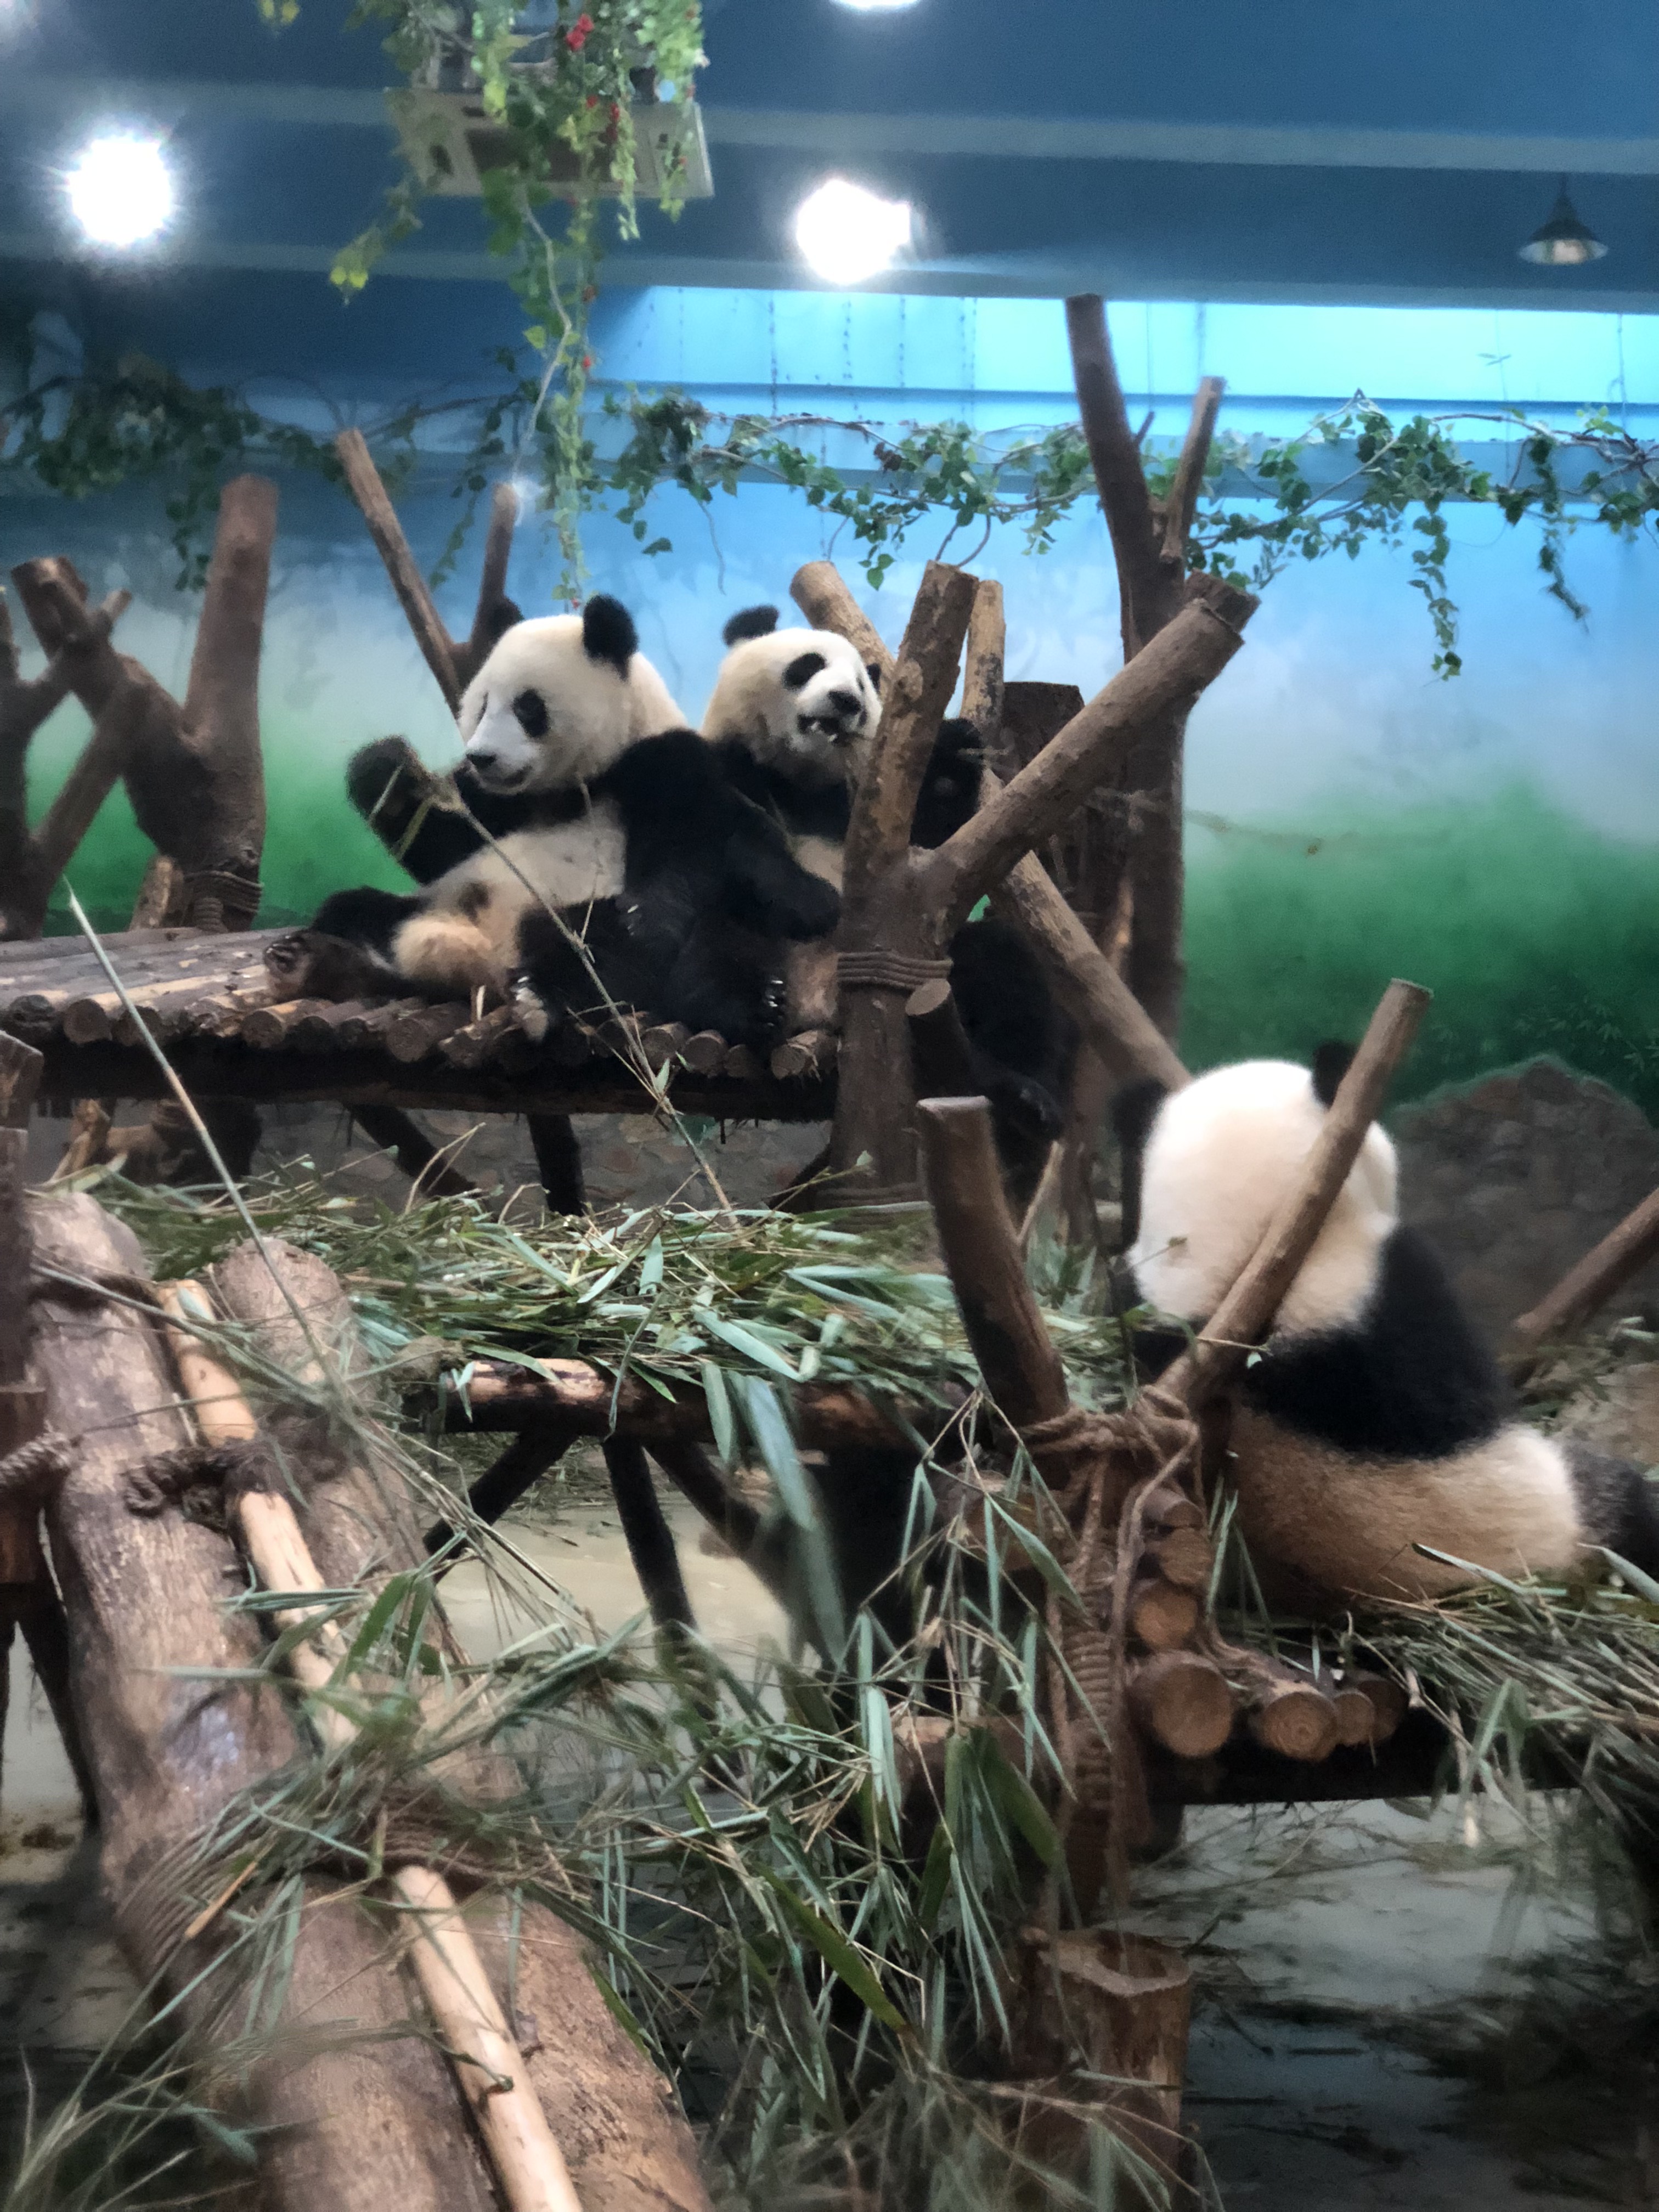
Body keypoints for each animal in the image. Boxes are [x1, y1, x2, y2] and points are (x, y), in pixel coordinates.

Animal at [269, 596, 840, 1051]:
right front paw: (385, 771)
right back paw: (310, 958)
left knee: (595, 955)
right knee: (353, 912)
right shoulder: (495, 802)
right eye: (481, 706)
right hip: (431, 904)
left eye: (528, 708)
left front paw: (649, 916)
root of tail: (477, 953)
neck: (571, 785)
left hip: (567, 915)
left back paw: (541, 998)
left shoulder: (663, 762)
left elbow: (684, 853)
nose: (482, 757)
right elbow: (442, 840)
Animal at [703, 605, 1072, 1193]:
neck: (798, 776)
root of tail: (820, 1011)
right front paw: (810, 900)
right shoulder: (723, 766)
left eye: (860, 683)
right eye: (808, 665)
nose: (846, 703)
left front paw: (956, 748)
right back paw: (759, 1007)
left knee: (1006, 966)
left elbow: (934, 844)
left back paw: (1029, 1098)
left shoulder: (865, 806)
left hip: (943, 972)